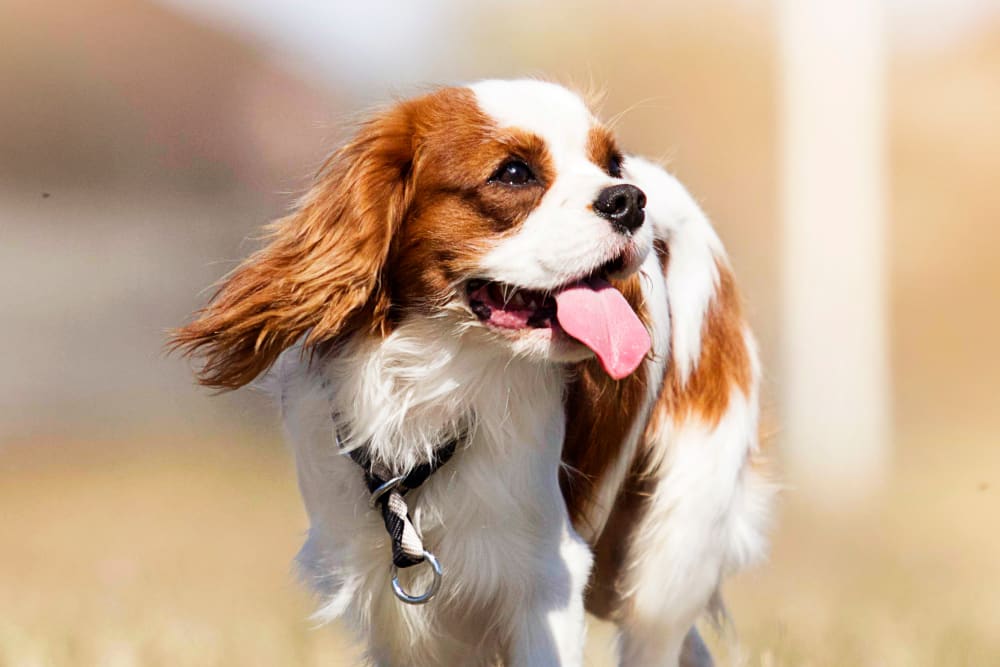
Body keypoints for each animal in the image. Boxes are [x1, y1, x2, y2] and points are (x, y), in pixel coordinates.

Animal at [172, 79, 768, 667]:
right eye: (513, 173)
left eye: (612, 164)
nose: (628, 199)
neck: (439, 376)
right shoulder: (392, 605)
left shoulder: (545, 580)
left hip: (672, 554)